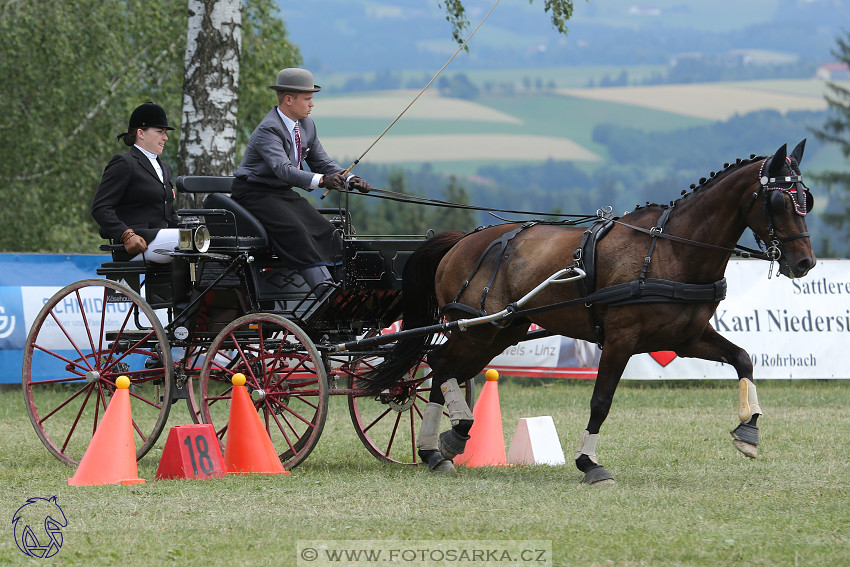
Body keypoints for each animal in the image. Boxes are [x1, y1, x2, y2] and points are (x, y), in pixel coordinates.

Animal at [364, 139, 816, 484]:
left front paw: (748, 432)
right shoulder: (620, 340)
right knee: (441, 364)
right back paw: (448, 436)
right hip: (476, 328)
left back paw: (440, 445)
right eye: (780, 200)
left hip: (501, 330)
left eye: (805, 199)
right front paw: (589, 464)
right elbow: (601, 401)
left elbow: (743, 358)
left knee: (444, 370)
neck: (671, 250)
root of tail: (461, 240)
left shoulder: (686, 337)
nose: (805, 263)